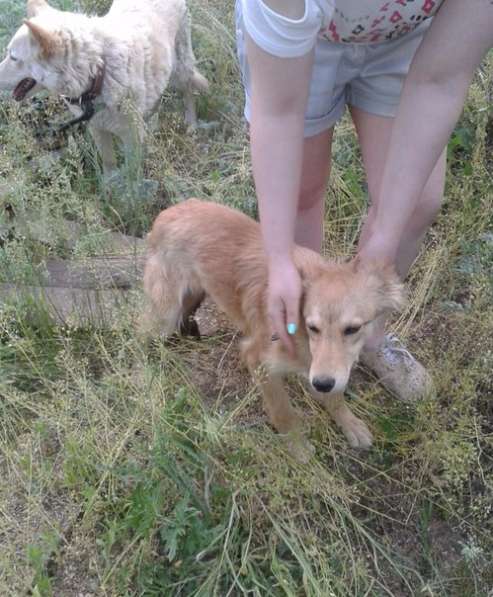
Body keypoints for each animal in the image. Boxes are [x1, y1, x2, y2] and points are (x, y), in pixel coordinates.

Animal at [0, 0, 208, 175]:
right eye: (9, 54)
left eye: (13, 57)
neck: (98, 72)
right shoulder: (98, 129)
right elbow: (109, 163)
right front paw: (110, 188)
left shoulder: (131, 136)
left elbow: (132, 172)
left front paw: (129, 194)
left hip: (179, 71)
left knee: (188, 92)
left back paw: (191, 124)